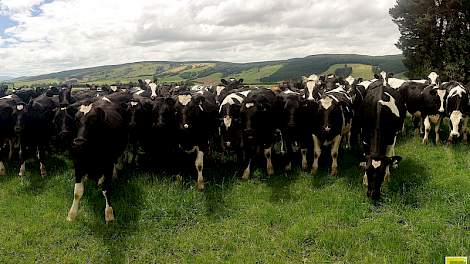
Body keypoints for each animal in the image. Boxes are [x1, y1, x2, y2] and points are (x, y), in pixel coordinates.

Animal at [67, 95, 129, 223]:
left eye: (93, 121)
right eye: (76, 120)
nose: (79, 142)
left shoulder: (107, 164)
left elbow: (106, 190)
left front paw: (109, 214)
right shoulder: (78, 163)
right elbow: (77, 192)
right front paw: (72, 214)